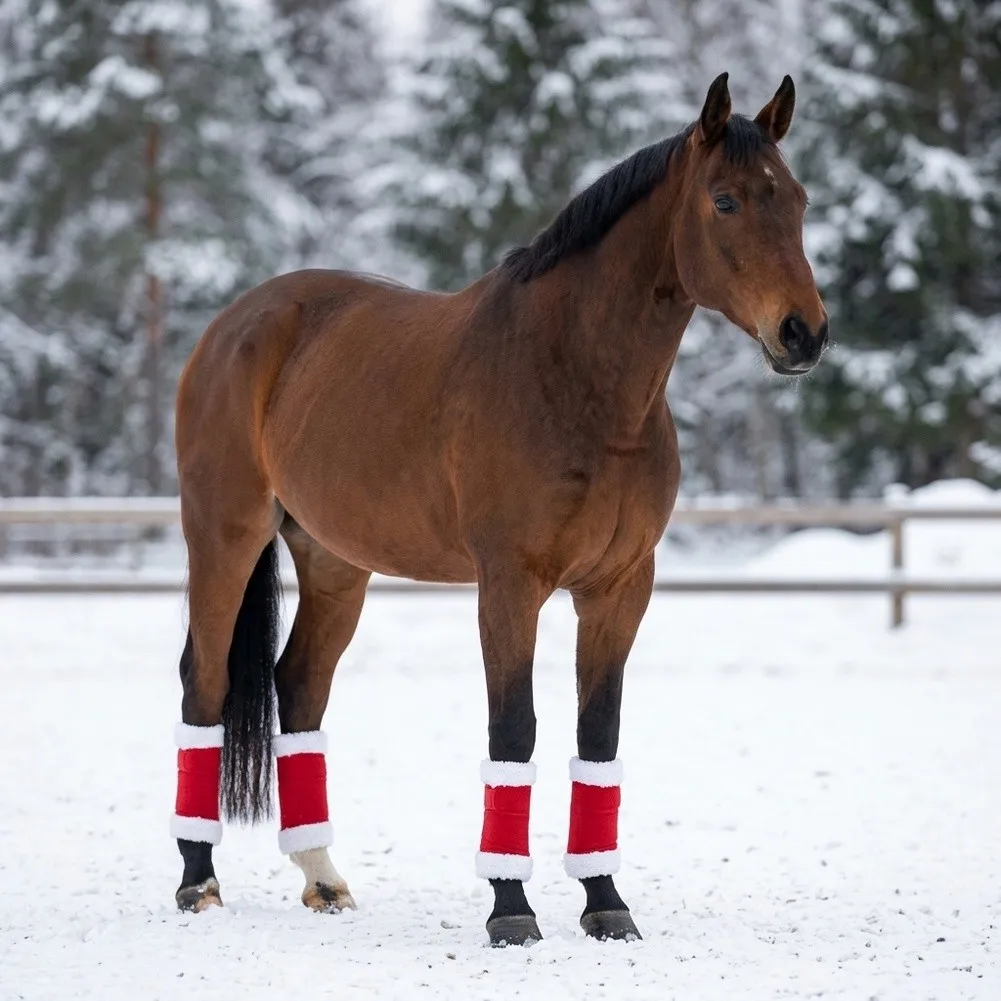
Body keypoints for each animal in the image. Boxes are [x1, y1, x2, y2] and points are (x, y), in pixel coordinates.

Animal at [169, 72, 827, 946]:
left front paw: (605, 899)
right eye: (724, 201)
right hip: (225, 535)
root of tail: (235, 322)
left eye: (797, 199)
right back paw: (197, 878)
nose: (803, 333)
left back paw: (323, 877)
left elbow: (598, 734)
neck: (575, 379)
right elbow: (514, 729)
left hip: (335, 561)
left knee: (298, 685)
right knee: (204, 684)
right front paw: (511, 906)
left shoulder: (619, 587)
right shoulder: (510, 584)